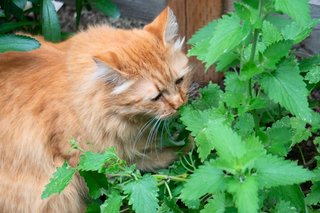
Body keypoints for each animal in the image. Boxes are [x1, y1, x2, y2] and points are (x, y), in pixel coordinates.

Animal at [0, 7, 192, 213]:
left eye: (179, 81)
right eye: (156, 97)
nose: (179, 104)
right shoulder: (92, 160)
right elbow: (154, 159)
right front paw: (189, 144)